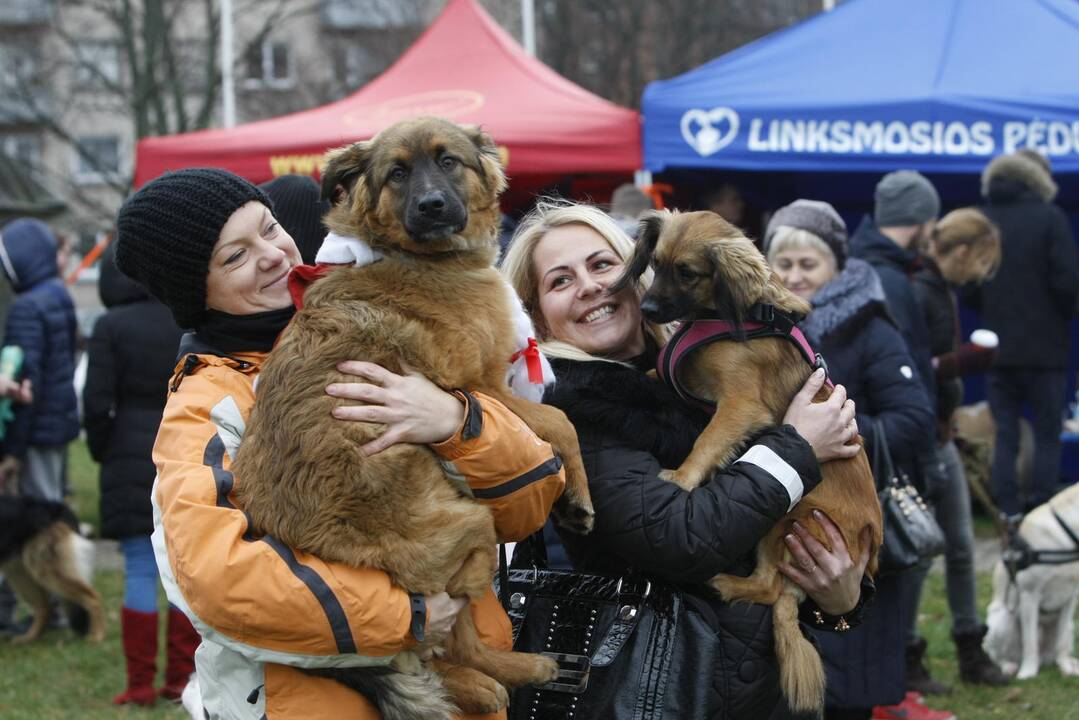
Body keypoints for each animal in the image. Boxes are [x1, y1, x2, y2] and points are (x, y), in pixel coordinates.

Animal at [0, 496, 105, 643]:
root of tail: (58, 506)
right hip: (20, 575)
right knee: (44, 608)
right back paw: (28, 638)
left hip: (48, 573)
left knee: (92, 597)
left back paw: (97, 636)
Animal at [612, 209, 880, 716]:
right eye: (655, 264)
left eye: (688, 272)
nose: (650, 311)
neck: (730, 315)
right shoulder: (675, 377)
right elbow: (655, 371)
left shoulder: (740, 406)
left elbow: (706, 442)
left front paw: (682, 477)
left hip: (791, 517)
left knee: (768, 588)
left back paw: (724, 584)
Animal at [988, 483, 1079, 682]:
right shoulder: (1029, 595)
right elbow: (1030, 642)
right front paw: (1028, 672)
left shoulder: (1071, 598)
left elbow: (1061, 642)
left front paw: (1066, 667)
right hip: (1002, 621)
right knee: (993, 653)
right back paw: (1009, 667)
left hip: (1070, 626)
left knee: (1057, 648)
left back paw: (1070, 662)